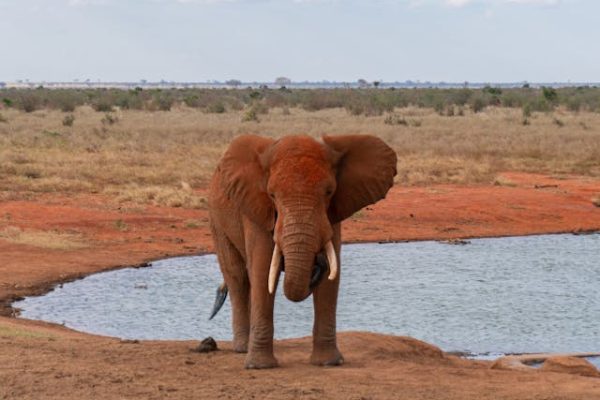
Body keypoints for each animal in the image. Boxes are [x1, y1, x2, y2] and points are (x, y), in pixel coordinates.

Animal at [207, 134, 398, 368]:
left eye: (329, 192)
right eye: (272, 194)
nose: (317, 262)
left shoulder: (332, 214)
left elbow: (332, 276)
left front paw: (328, 363)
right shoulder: (257, 208)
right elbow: (262, 270)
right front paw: (260, 366)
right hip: (216, 219)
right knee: (239, 277)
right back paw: (242, 348)